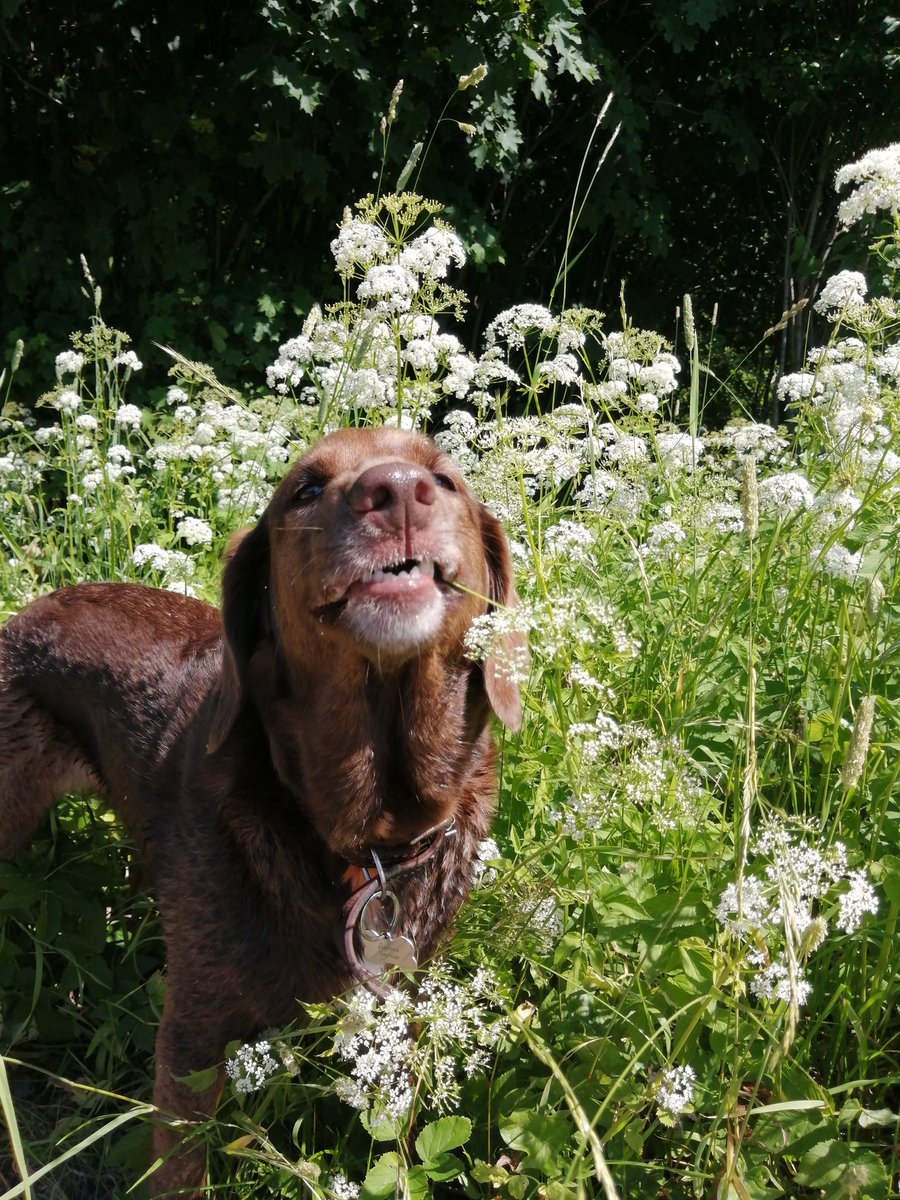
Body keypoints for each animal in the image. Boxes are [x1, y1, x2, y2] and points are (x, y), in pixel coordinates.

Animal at [0, 427, 520, 1195]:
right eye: (306, 489)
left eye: (446, 479)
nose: (396, 490)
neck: (362, 840)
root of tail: (26, 612)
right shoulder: (193, 1036)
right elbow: (178, 1166)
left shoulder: (409, 1000)